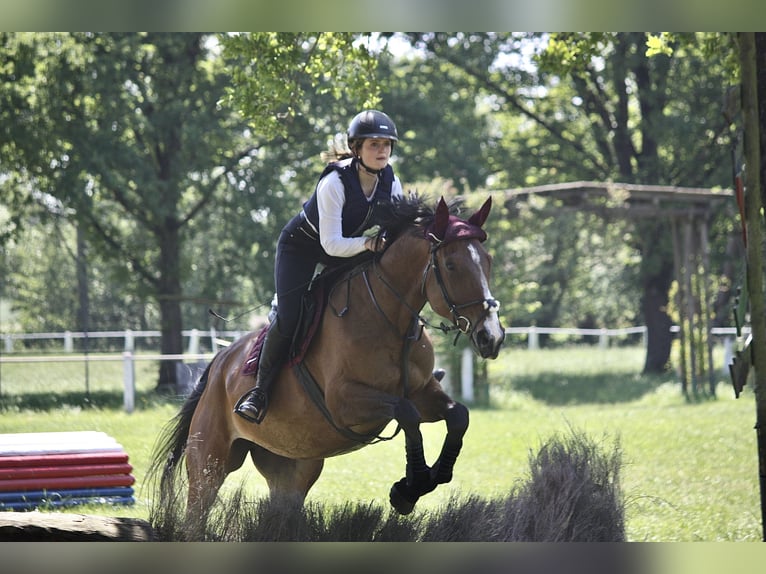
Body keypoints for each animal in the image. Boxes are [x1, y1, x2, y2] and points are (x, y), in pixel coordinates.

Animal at [152, 195, 508, 528]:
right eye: (451, 265)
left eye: (488, 261)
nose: (491, 337)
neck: (390, 318)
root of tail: (218, 364)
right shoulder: (345, 403)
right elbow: (407, 415)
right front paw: (410, 487)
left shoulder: (423, 392)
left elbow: (458, 415)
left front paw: (425, 481)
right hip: (210, 461)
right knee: (196, 512)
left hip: (291, 465)